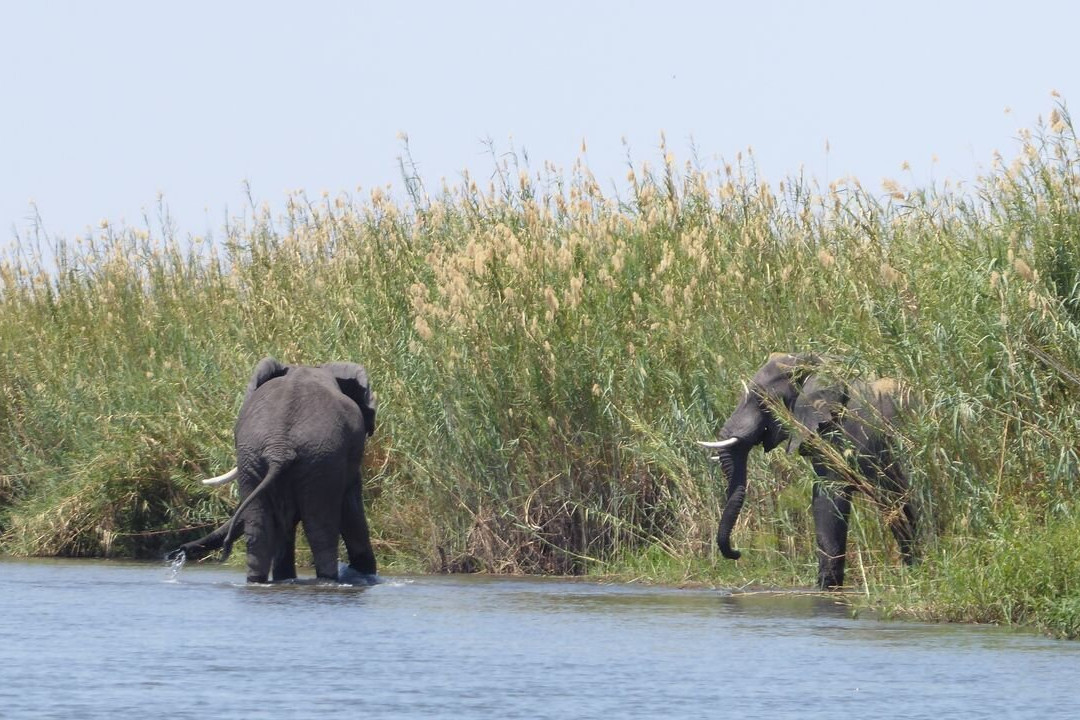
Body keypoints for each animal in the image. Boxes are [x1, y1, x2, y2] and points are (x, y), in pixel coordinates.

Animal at [171, 358, 380, 582]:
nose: (181, 550)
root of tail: (279, 447)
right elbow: (351, 505)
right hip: (313, 459)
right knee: (319, 529)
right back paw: (325, 580)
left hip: (262, 458)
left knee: (263, 528)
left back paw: (261, 581)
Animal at [699, 351, 920, 587]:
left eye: (761, 399)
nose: (737, 553)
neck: (818, 360)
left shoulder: (840, 431)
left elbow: (829, 497)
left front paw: (825, 587)